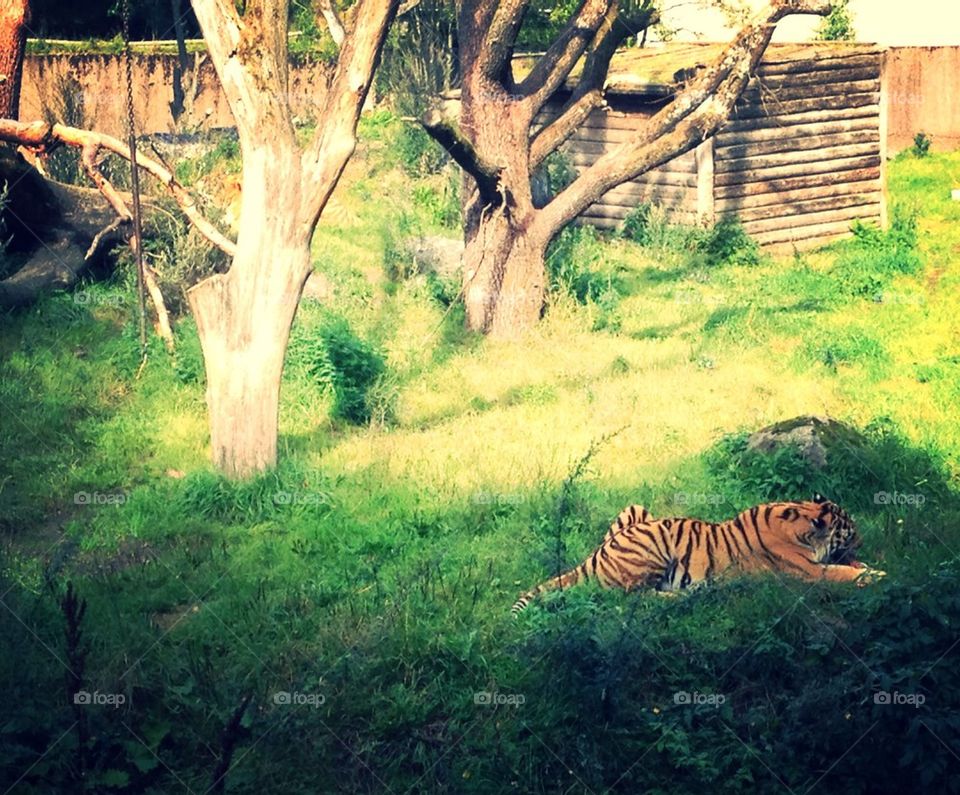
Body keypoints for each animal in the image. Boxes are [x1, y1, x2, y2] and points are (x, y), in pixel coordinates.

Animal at [512, 495, 884, 615]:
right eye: (850, 529)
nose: (865, 539)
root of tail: (592, 558)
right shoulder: (806, 573)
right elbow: (841, 573)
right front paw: (877, 575)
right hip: (653, 548)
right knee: (631, 601)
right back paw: (688, 596)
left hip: (637, 511)